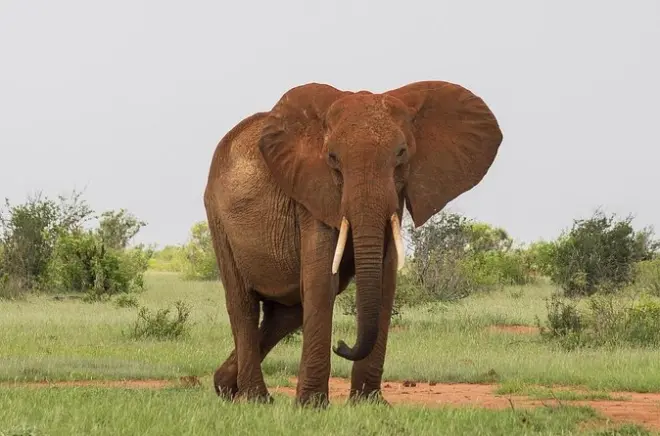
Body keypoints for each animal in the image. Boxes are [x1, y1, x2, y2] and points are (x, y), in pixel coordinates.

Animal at [203, 80, 503, 406]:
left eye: (401, 154)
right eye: (333, 158)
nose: (342, 345)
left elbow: (384, 281)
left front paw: (369, 404)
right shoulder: (312, 193)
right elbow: (323, 280)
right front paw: (311, 406)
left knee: (286, 314)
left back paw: (225, 387)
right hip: (218, 218)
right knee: (243, 304)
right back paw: (255, 399)